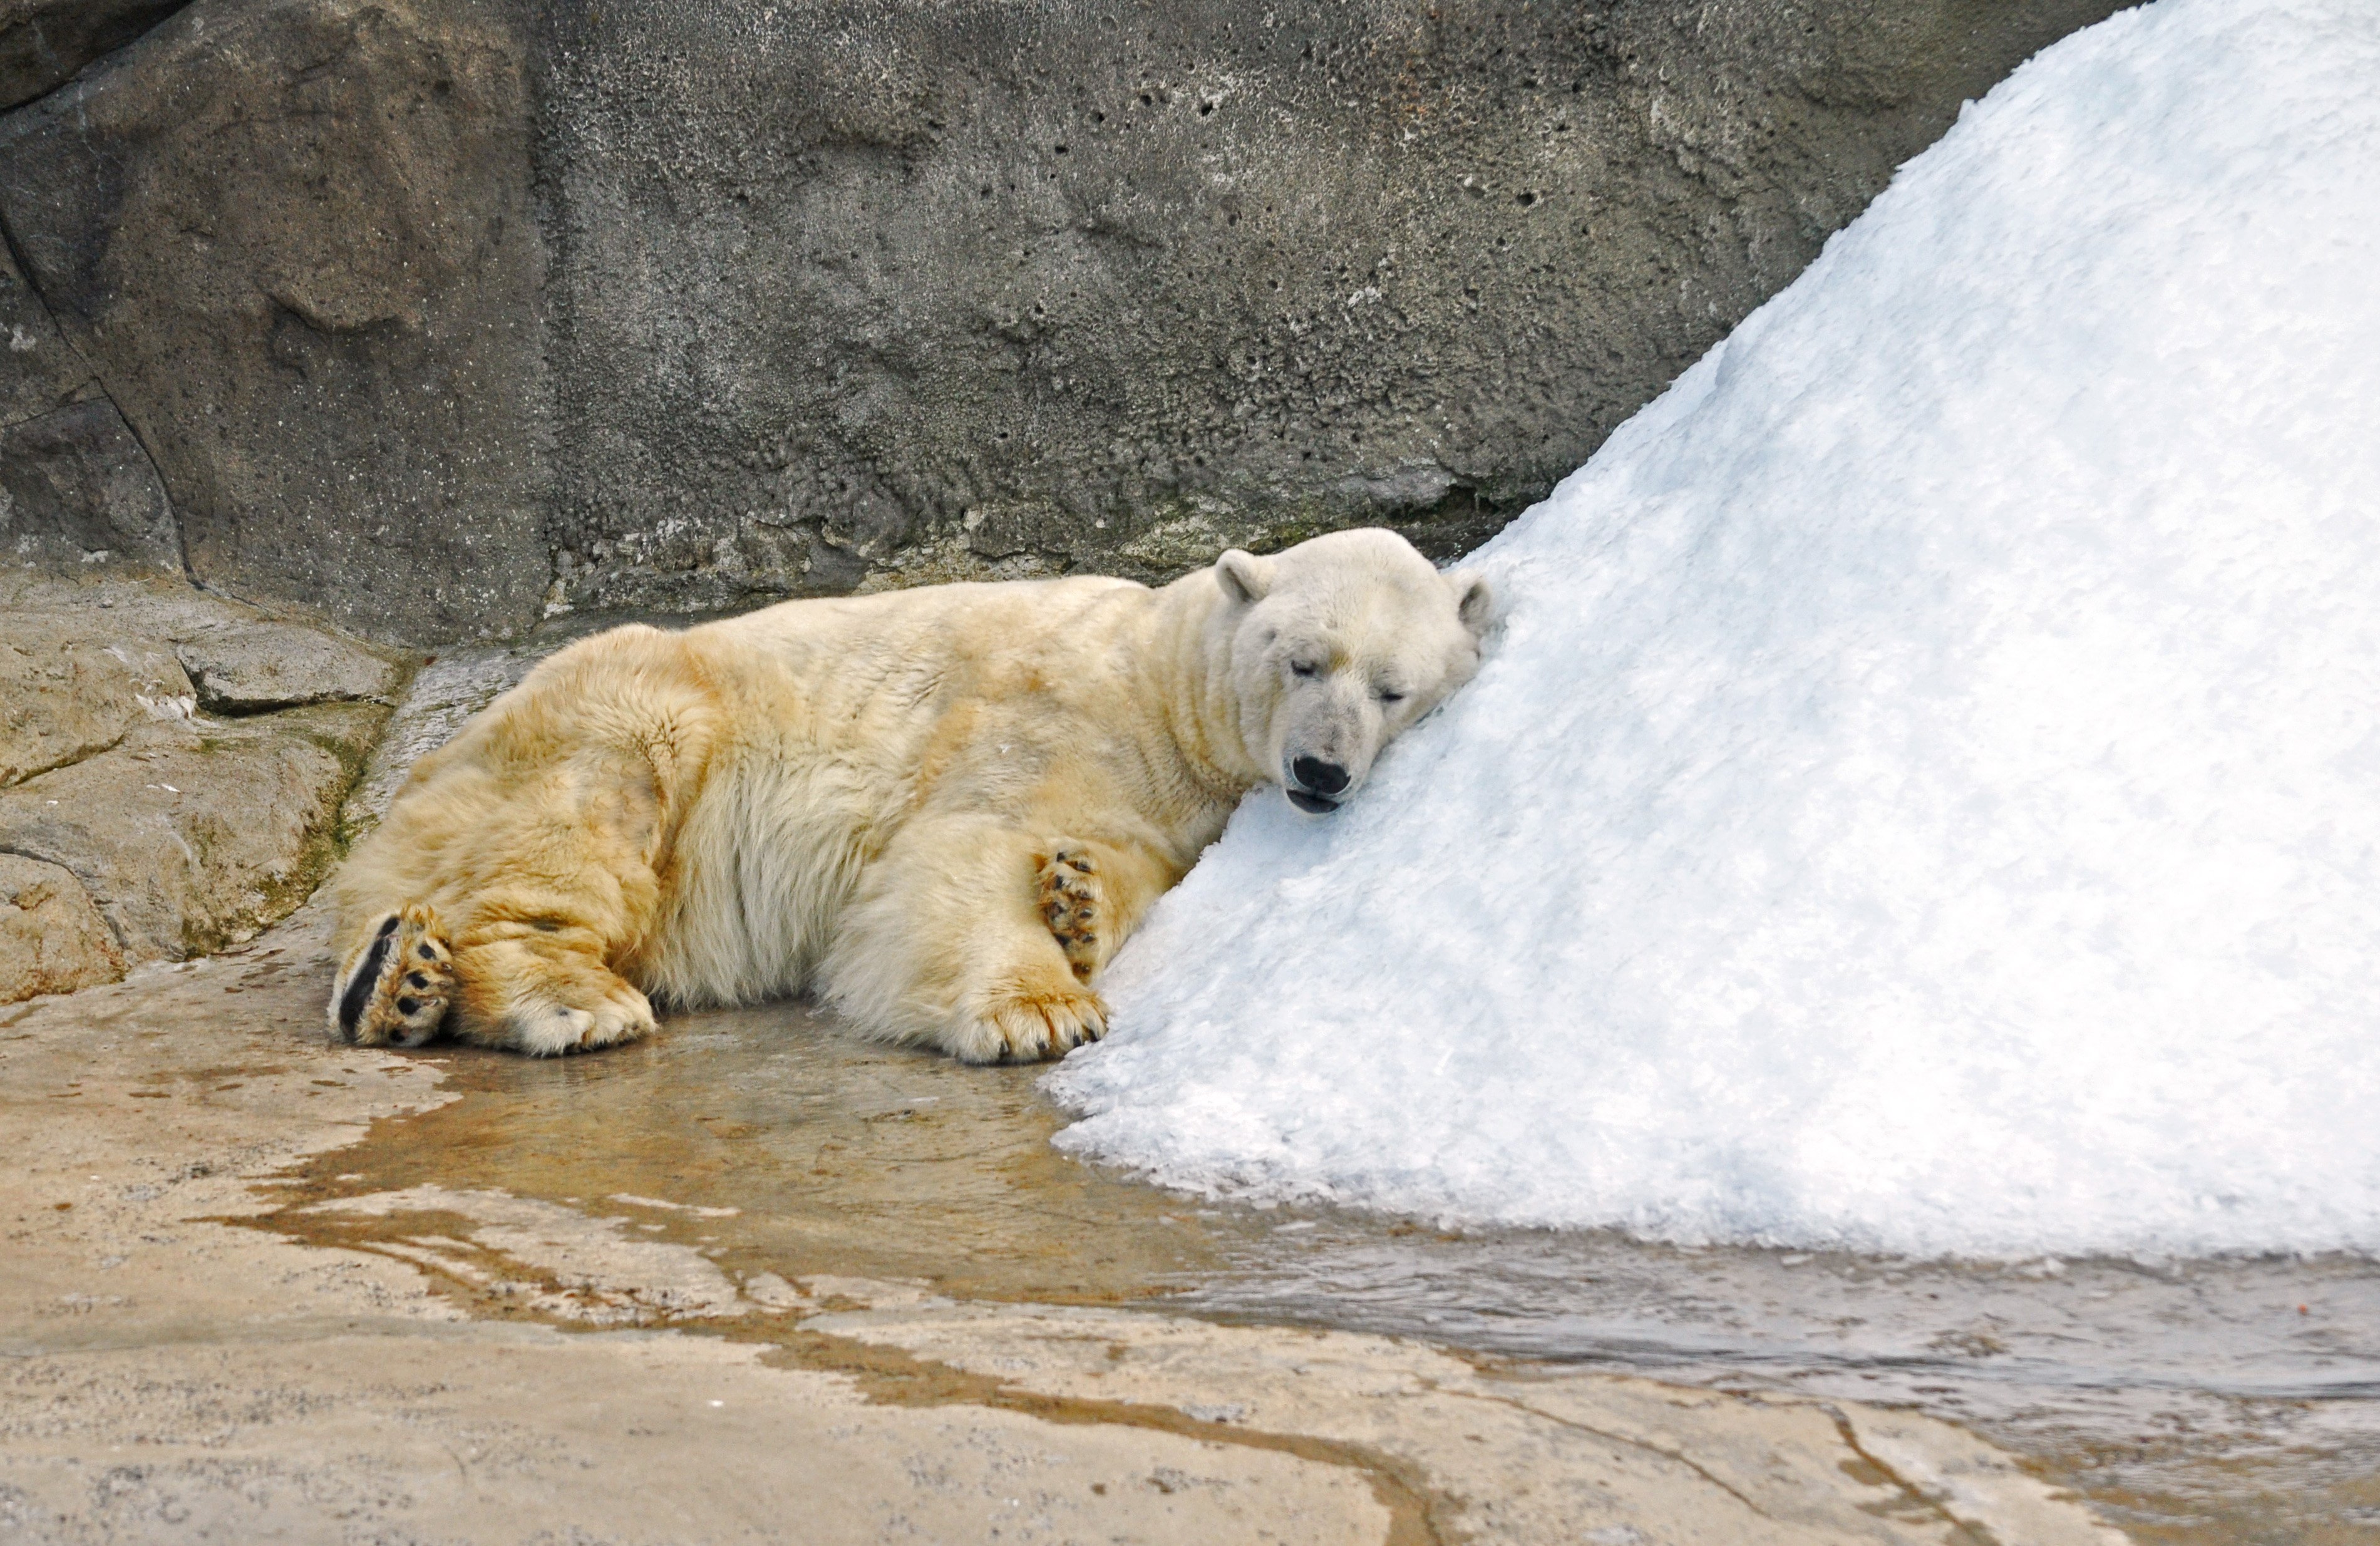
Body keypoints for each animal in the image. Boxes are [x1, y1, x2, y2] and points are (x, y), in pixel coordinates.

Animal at [326, 523, 1485, 1051]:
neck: (1156, 678)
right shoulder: (1045, 712)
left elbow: (1117, 858)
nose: (1321, 770)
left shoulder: (1169, 802)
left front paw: (1077, 900)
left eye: (1394, 689)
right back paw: (546, 995)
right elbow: (963, 847)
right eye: (1304, 661)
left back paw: (408, 981)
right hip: (618, 712)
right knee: (580, 820)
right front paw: (1043, 1010)